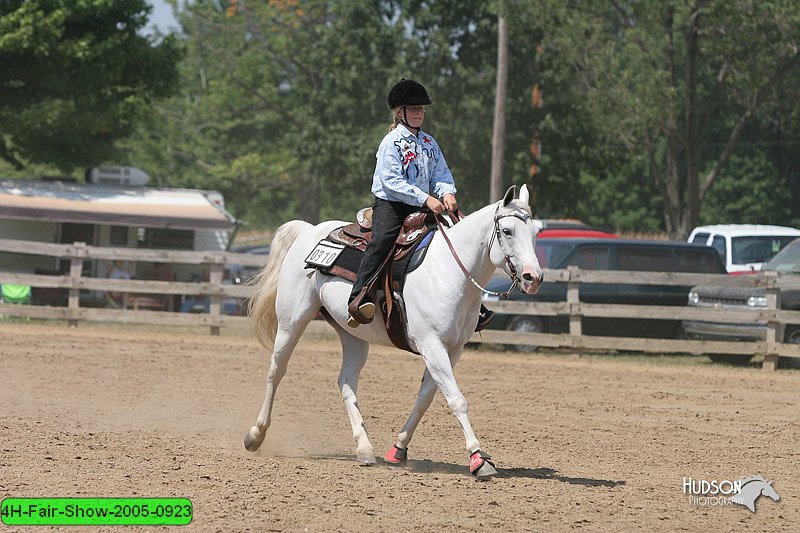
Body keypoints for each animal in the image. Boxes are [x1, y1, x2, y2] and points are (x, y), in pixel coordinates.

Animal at [244, 185, 544, 476]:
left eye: (535, 232)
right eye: (507, 231)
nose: (534, 278)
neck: (449, 273)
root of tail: (309, 231)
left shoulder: (452, 349)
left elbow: (426, 398)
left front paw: (398, 449)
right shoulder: (431, 344)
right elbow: (456, 399)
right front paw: (478, 458)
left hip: (353, 335)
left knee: (346, 382)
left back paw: (365, 448)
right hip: (292, 320)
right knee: (276, 370)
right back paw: (255, 435)